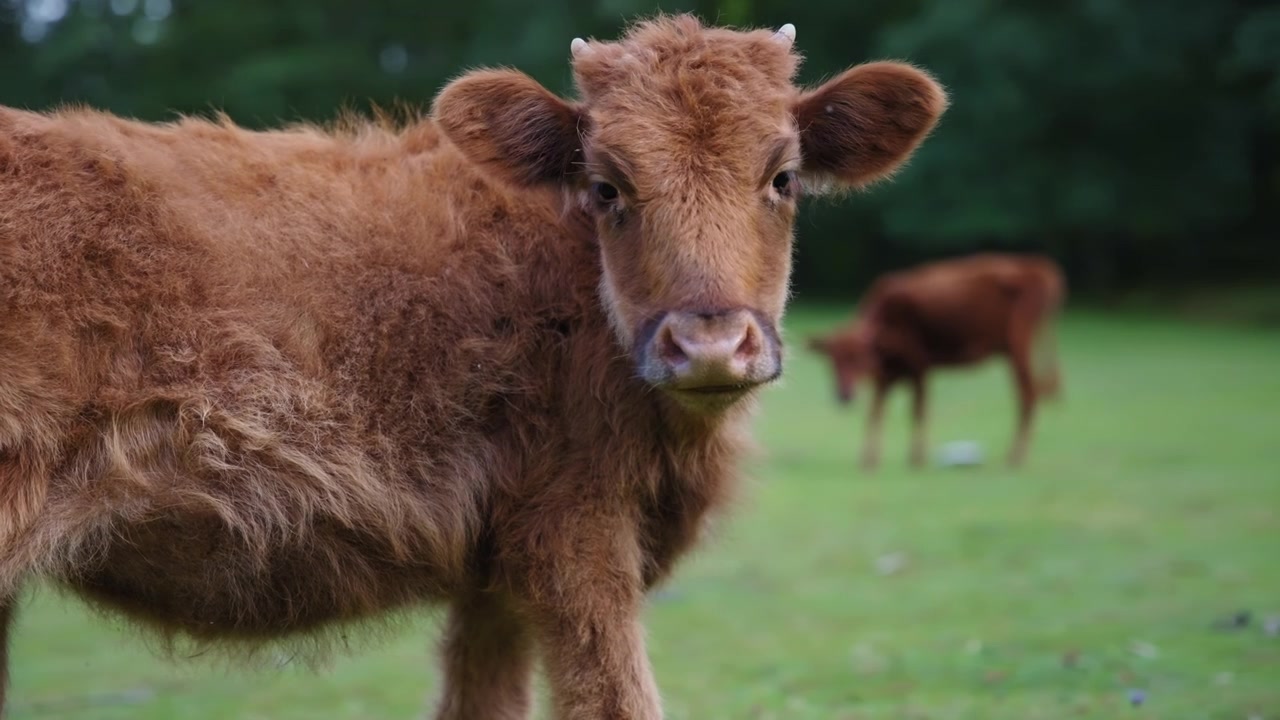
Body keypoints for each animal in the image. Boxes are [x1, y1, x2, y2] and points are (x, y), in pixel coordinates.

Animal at [0, 15, 947, 719]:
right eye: (607, 185)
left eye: (782, 176)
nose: (709, 342)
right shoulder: (576, 533)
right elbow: (615, 698)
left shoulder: (495, 575)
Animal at [806, 253, 1064, 470]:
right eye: (831, 361)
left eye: (858, 357)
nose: (843, 395)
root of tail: (1039, 268)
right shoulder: (887, 376)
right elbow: (875, 412)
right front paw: (869, 460)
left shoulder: (919, 366)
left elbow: (917, 411)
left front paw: (916, 459)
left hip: (1018, 348)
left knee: (1028, 397)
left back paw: (1015, 457)